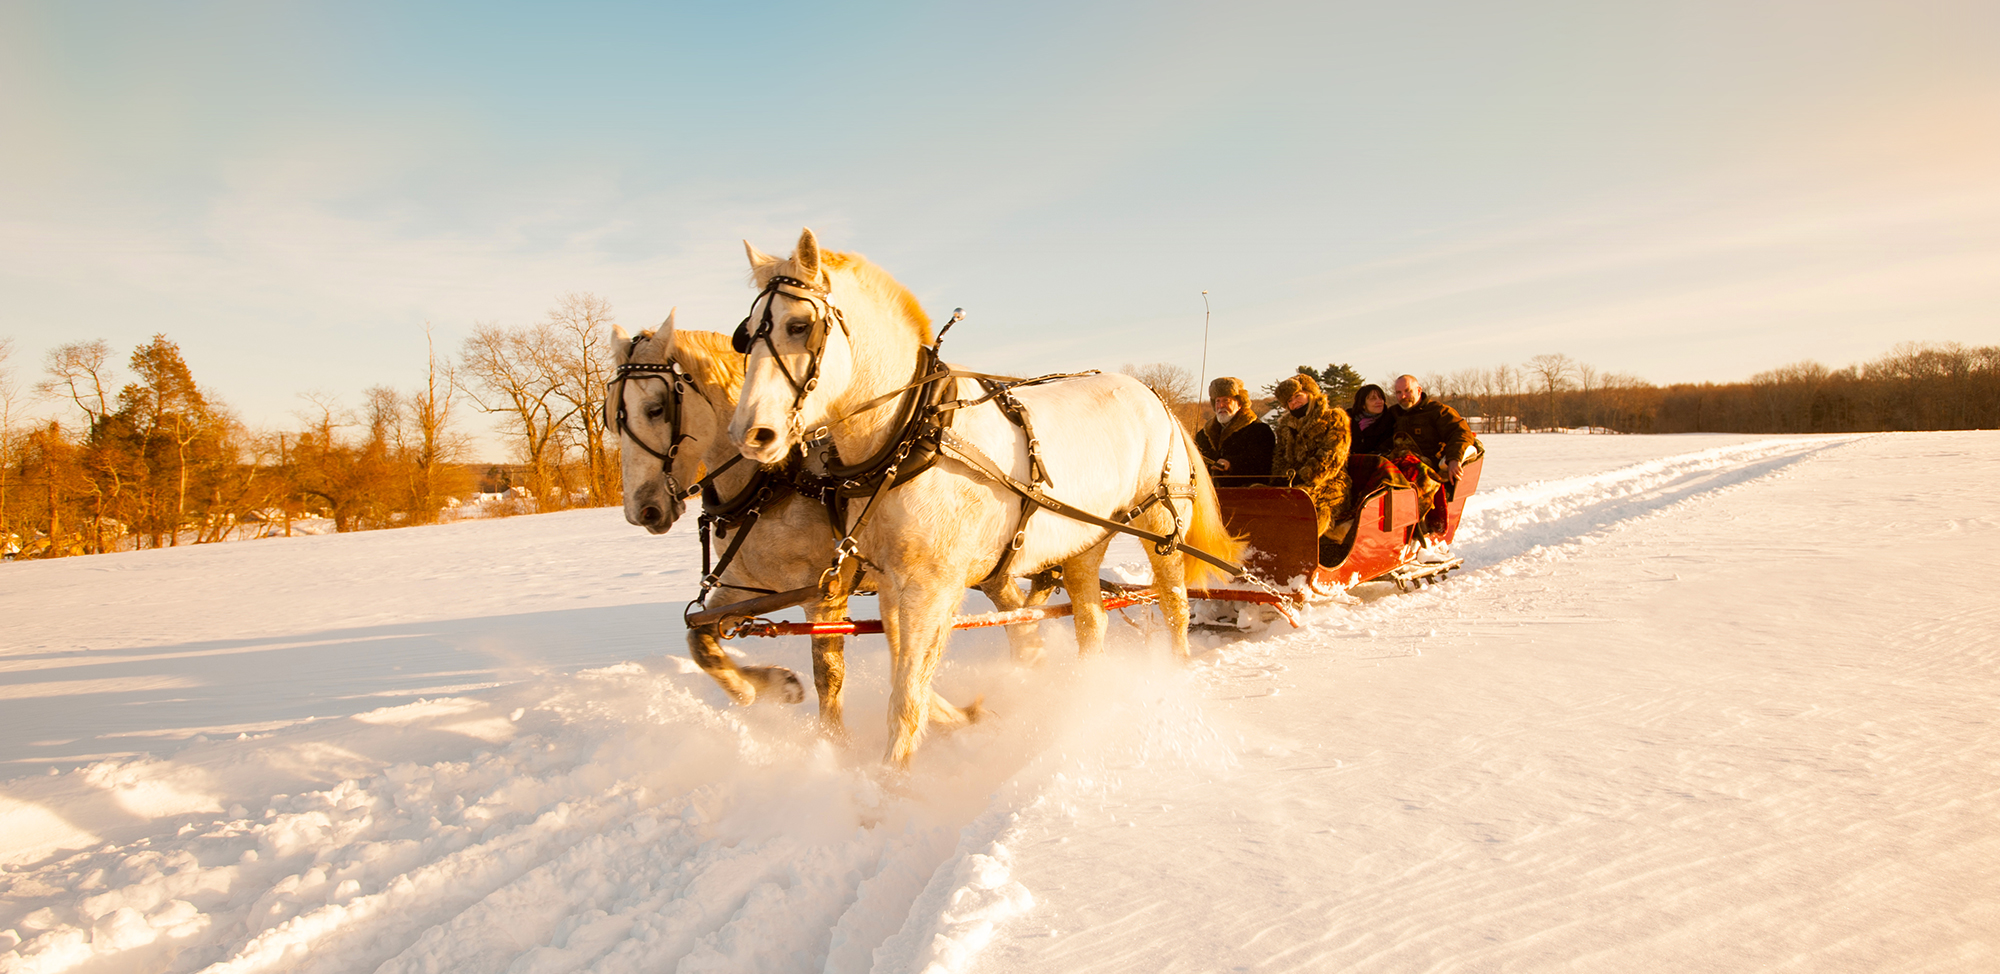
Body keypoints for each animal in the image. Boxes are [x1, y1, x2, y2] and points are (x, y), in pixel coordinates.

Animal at [608, 316, 1056, 736]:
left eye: (655, 408)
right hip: (987, 567)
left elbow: (830, 676)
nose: (643, 511)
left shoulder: (825, 593)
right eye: (610, 417)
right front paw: (769, 687)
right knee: (1019, 618)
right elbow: (699, 640)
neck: (772, 481)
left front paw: (835, 745)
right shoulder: (745, 588)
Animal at [728, 229, 1240, 772]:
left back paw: (1173, 673)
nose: (750, 434)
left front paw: (891, 782)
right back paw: (1081, 696)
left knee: (1175, 605)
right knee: (1091, 620)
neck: (911, 432)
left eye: (799, 325)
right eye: (746, 335)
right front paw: (963, 719)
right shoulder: (893, 583)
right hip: (1087, 539)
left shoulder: (933, 586)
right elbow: (906, 675)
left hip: (1161, 522)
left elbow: (906, 696)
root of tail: (1153, 395)